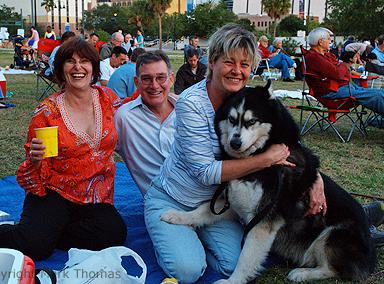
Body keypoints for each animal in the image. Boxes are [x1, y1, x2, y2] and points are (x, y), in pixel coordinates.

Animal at [160, 81, 376, 282]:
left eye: (252, 121)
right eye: (231, 119)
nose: (234, 143)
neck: (259, 160)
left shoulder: (263, 220)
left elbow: (246, 258)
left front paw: (232, 281)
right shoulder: (232, 202)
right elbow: (202, 210)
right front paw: (178, 216)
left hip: (332, 234)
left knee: (332, 269)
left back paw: (302, 273)